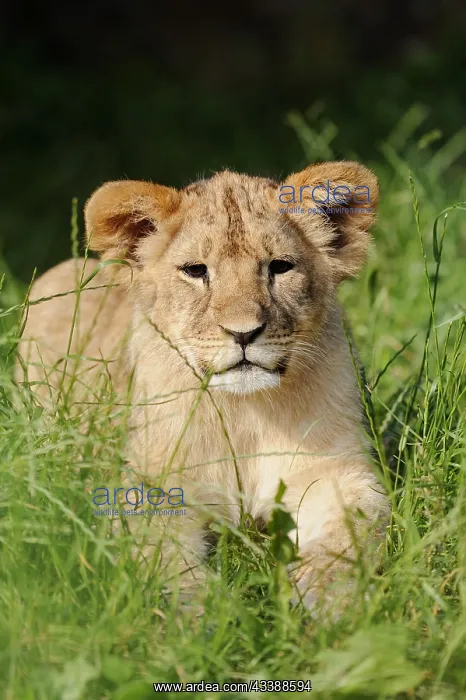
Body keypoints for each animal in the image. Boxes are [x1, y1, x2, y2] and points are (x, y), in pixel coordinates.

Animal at [16, 161, 390, 611]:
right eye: (196, 270)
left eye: (280, 267)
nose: (244, 333)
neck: (244, 412)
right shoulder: (151, 488)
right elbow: (164, 563)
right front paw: (205, 615)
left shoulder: (334, 471)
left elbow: (351, 532)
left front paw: (330, 597)